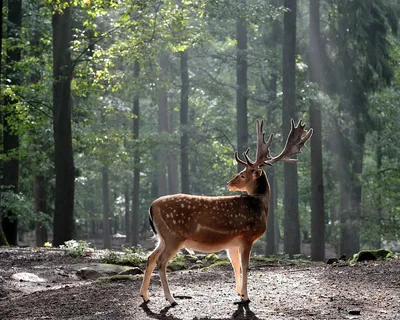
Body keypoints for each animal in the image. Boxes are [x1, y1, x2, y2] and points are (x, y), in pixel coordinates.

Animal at [140, 119, 312, 304]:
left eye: (243, 175)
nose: (229, 183)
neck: (260, 205)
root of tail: (152, 206)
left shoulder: (232, 243)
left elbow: (235, 265)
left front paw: (239, 293)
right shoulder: (247, 236)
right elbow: (245, 265)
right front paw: (246, 297)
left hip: (163, 237)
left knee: (150, 257)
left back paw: (145, 296)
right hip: (174, 236)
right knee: (161, 261)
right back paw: (171, 299)